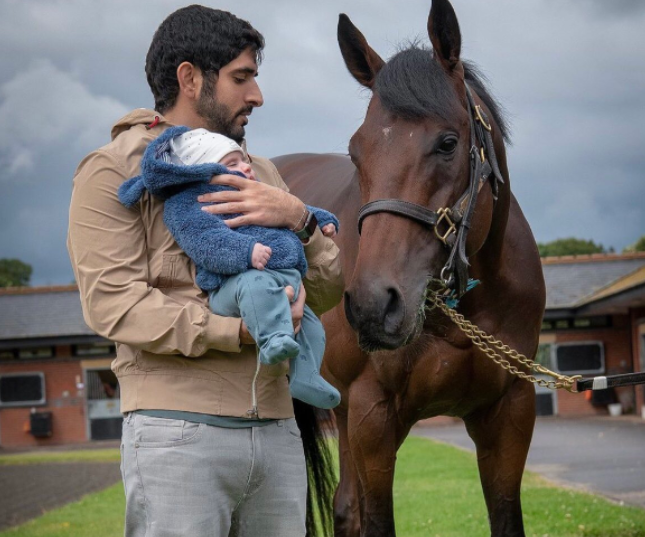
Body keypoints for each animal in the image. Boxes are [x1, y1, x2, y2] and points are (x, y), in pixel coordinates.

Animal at [276, 2, 544, 532]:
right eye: (356, 151)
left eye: (447, 143)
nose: (372, 305)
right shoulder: (373, 418)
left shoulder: (511, 415)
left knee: (343, 505)